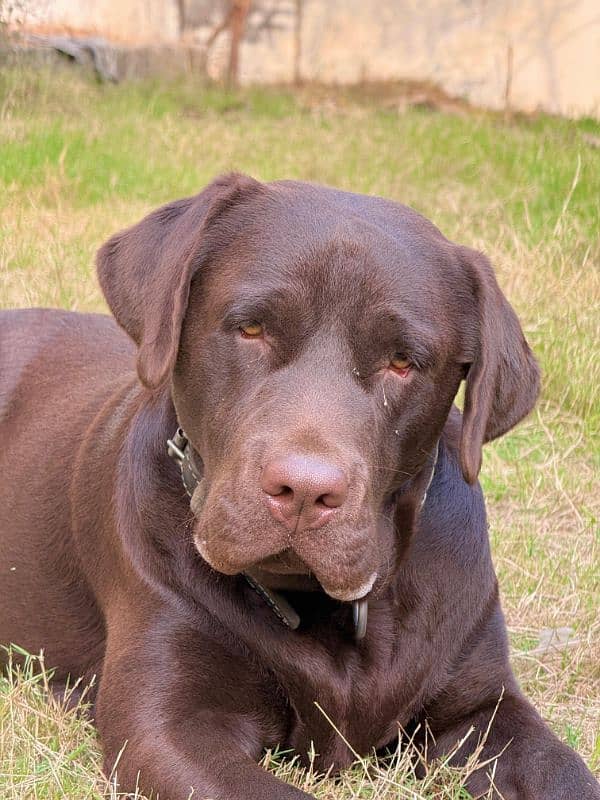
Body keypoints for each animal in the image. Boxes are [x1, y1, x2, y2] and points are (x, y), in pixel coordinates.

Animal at [0, 177, 596, 800]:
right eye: (251, 328)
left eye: (403, 362)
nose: (306, 492)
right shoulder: (169, 728)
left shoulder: (481, 707)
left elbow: (564, 771)